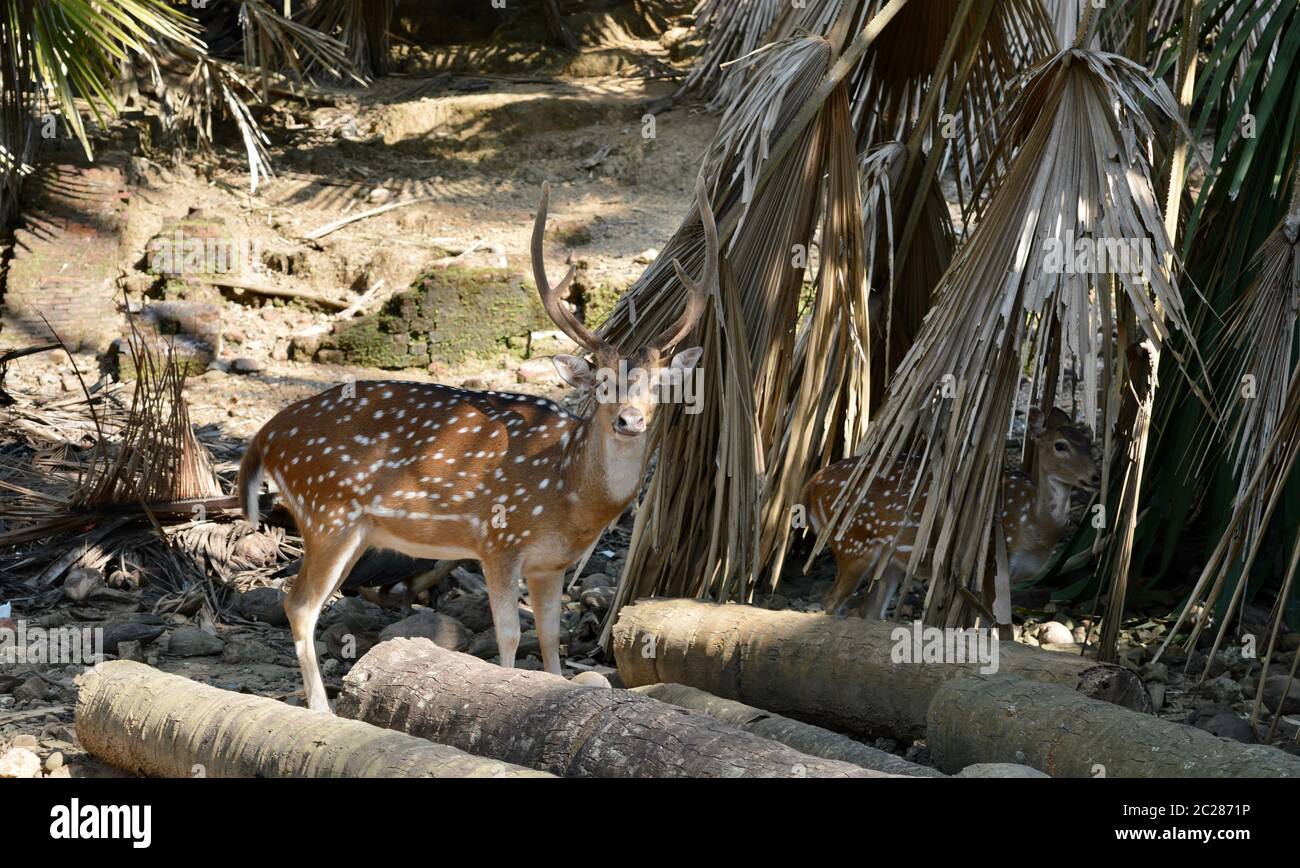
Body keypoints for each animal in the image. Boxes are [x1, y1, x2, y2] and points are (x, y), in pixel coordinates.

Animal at [239, 176, 717, 712]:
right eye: (602, 382)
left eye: (660, 386)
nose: (629, 420)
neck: (569, 495)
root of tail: (266, 434)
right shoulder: (498, 539)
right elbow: (509, 634)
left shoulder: (551, 565)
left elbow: (552, 639)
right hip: (328, 512)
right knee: (298, 602)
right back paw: (321, 709)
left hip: (353, 530)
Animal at [806, 410, 1102, 621]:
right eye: (1061, 446)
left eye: (1089, 443)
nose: (1096, 476)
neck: (1035, 525)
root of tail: (812, 484)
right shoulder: (991, 559)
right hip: (853, 543)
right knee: (831, 602)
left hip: (890, 561)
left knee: (869, 612)